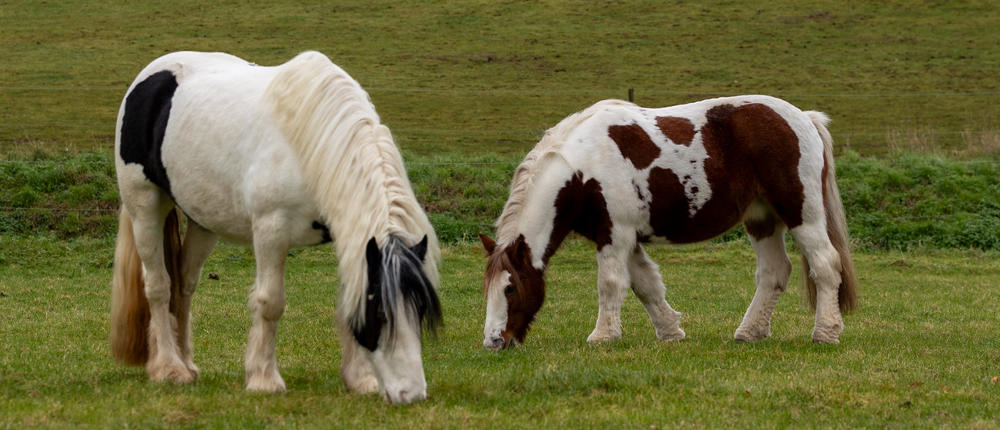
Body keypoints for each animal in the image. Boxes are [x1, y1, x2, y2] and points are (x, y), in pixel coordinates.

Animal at [109, 51, 442, 405]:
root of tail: (148, 76)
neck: (310, 140)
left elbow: (345, 302)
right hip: (144, 208)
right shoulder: (271, 231)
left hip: (202, 221)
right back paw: (169, 368)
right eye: (380, 312)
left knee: (183, 284)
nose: (411, 393)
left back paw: (187, 362)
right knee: (158, 285)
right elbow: (270, 303)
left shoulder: (347, 238)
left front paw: (359, 379)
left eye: (420, 309)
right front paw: (263, 378)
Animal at [478, 96, 857, 350]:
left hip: (802, 214)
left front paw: (603, 336)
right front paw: (670, 331)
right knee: (774, 272)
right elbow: (645, 284)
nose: (494, 342)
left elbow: (611, 283)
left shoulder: (614, 235)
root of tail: (804, 117)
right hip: (761, 219)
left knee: (826, 264)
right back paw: (750, 332)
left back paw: (825, 333)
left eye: (510, 288)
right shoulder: (626, 237)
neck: (584, 167)